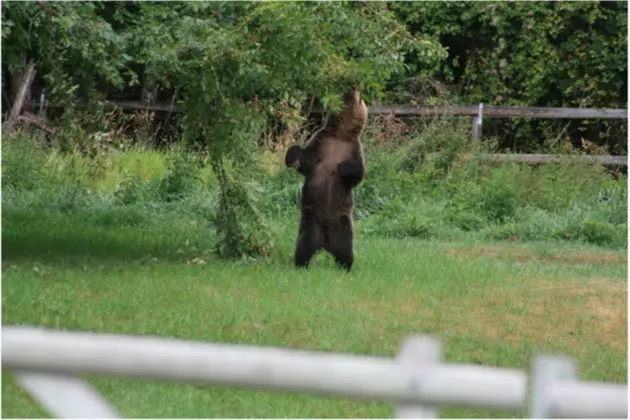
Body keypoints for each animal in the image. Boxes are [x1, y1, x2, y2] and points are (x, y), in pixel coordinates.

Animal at [284, 88, 368, 272]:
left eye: (359, 97)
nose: (352, 87)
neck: (341, 135)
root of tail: (325, 243)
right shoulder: (321, 143)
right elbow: (306, 160)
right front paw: (293, 155)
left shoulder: (354, 149)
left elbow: (357, 175)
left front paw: (343, 168)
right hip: (311, 218)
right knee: (305, 242)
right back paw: (301, 264)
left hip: (342, 223)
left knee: (345, 248)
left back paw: (345, 267)